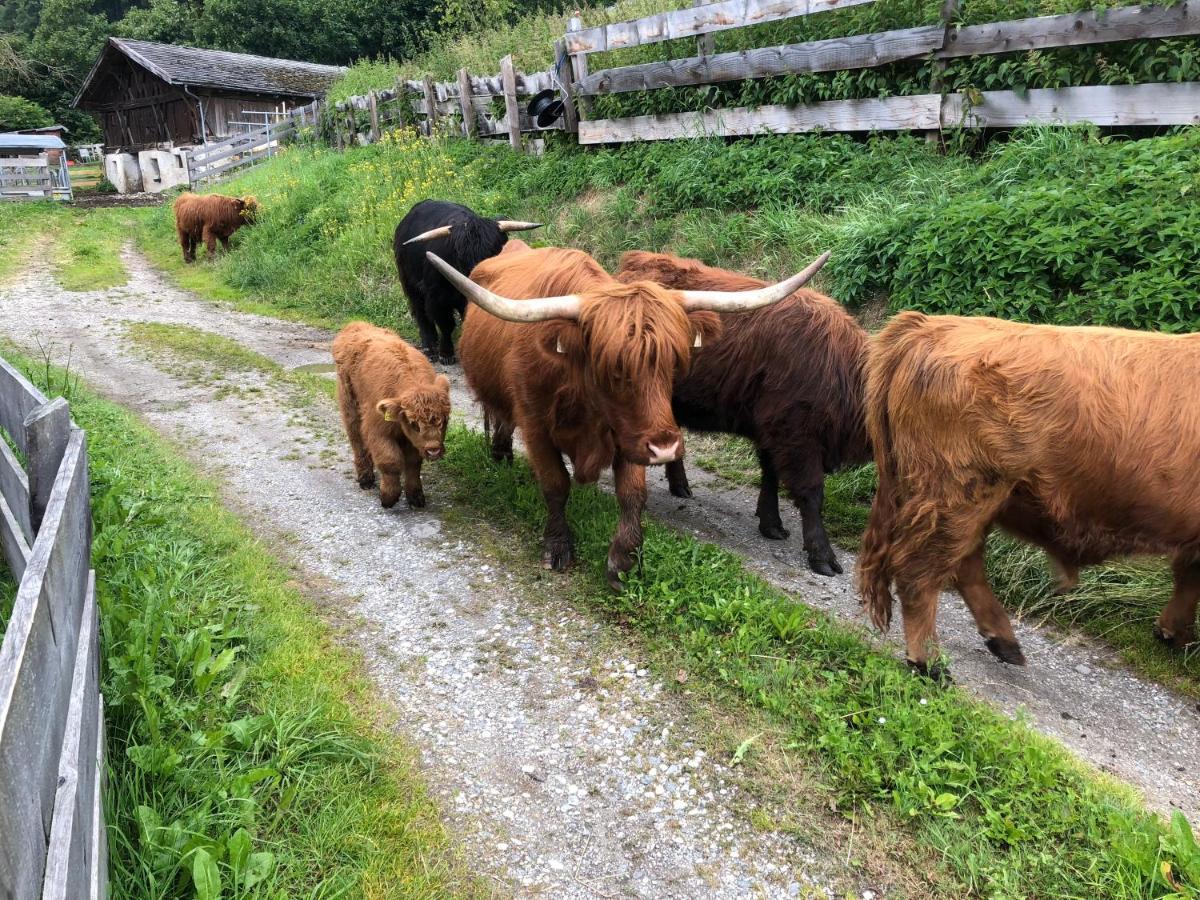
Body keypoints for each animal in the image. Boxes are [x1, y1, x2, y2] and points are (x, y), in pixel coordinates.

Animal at [331, 321, 451, 508]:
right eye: (414, 424)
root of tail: (356, 325)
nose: (433, 450)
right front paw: (388, 497)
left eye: (444, 420)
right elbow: (390, 461)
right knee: (357, 440)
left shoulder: (413, 442)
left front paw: (416, 497)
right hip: (350, 406)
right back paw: (365, 479)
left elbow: (413, 464)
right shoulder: (378, 431)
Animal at [427, 243, 830, 588]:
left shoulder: (632, 435)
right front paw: (558, 547)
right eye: (612, 367)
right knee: (498, 416)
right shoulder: (537, 426)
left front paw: (622, 561)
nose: (666, 448)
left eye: (674, 361)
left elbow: (633, 494)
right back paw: (500, 455)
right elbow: (556, 485)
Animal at [619, 252, 864, 578]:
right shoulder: (797, 439)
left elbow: (770, 475)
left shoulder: (774, 433)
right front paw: (822, 555)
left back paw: (680, 485)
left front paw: (771, 524)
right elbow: (812, 494)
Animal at [859, 314, 1200, 681]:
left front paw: (1172, 631)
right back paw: (930, 661)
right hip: (958, 491)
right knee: (918, 570)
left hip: (964, 498)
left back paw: (1003, 641)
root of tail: (931, 324)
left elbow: (1189, 577)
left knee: (962, 562)